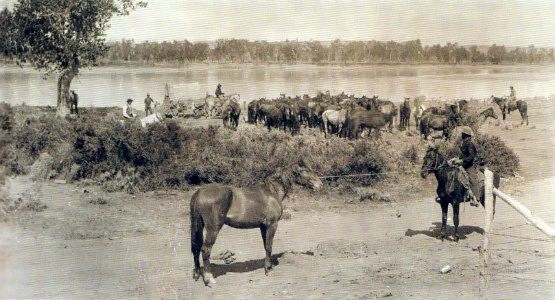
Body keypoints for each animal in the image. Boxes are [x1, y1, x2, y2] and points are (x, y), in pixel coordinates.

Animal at [190, 166, 322, 286]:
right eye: (306, 171)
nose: (319, 185)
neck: (272, 192)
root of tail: (199, 193)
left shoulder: (263, 226)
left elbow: (265, 246)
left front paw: (268, 266)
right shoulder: (272, 225)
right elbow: (269, 246)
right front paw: (268, 269)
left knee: (196, 247)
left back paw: (197, 275)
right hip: (213, 229)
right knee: (205, 249)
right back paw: (209, 279)